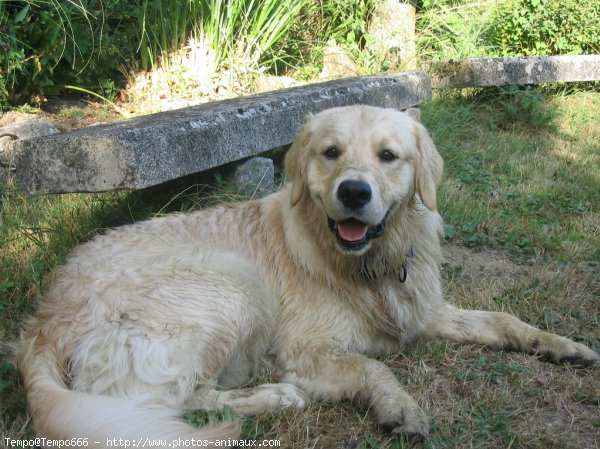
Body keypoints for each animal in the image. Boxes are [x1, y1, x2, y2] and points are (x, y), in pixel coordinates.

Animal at [16, 105, 596, 444]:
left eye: (389, 156)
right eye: (330, 153)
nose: (354, 192)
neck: (369, 265)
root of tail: (41, 323)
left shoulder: (423, 310)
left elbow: (503, 319)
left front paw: (561, 345)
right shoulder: (308, 350)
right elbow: (372, 368)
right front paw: (400, 406)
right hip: (232, 285)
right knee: (175, 400)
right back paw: (276, 397)